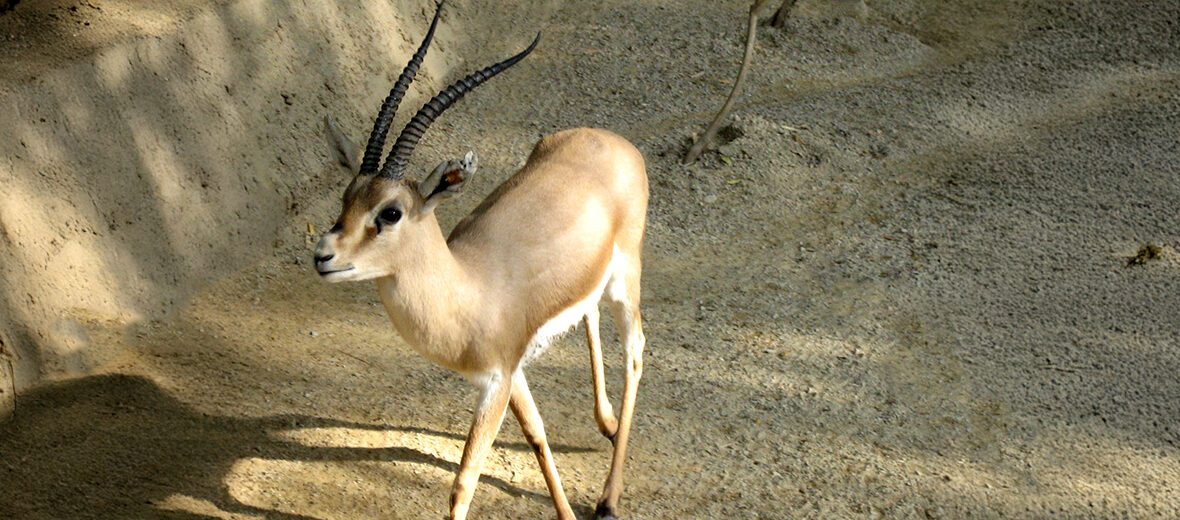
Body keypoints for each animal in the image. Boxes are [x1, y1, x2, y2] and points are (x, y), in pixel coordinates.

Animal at [312, 3, 648, 519]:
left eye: (390, 212)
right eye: (346, 199)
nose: (323, 256)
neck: (467, 290)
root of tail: (612, 140)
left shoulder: (495, 381)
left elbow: (463, 483)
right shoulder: (513, 372)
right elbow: (536, 435)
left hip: (625, 277)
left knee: (635, 349)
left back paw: (608, 498)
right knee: (589, 314)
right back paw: (606, 424)